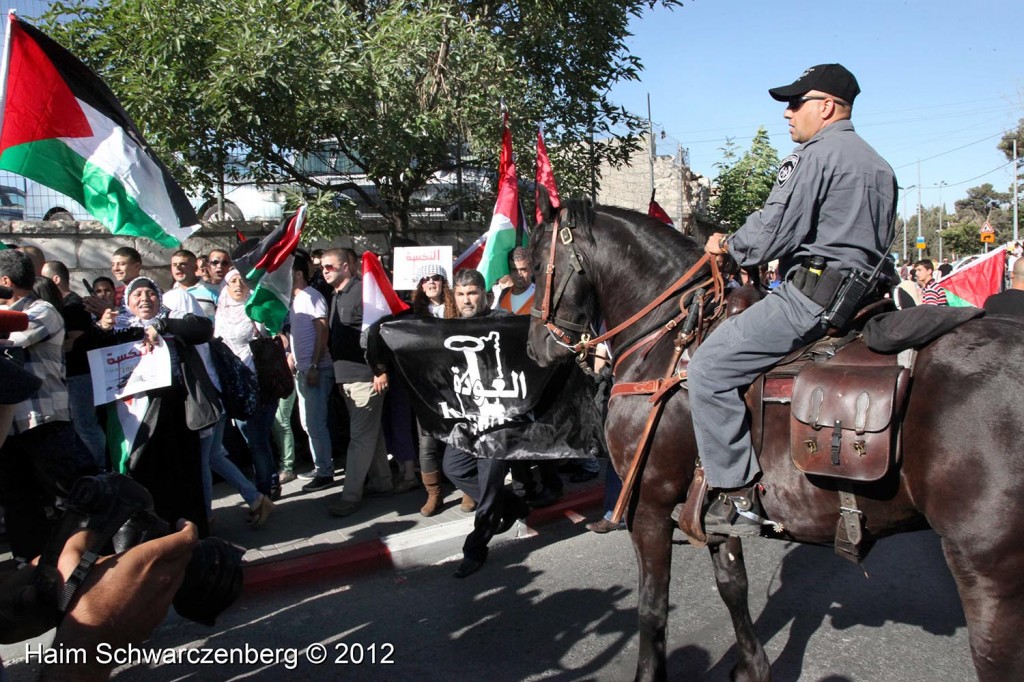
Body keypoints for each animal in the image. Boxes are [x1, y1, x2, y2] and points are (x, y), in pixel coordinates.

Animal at [524, 192, 1024, 679]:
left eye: (534, 261)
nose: (535, 347)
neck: (665, 345)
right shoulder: (708, 507)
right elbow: (732, 584)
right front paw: (753, 668)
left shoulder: (649, 503)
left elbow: (652, 607)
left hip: (987, 572)